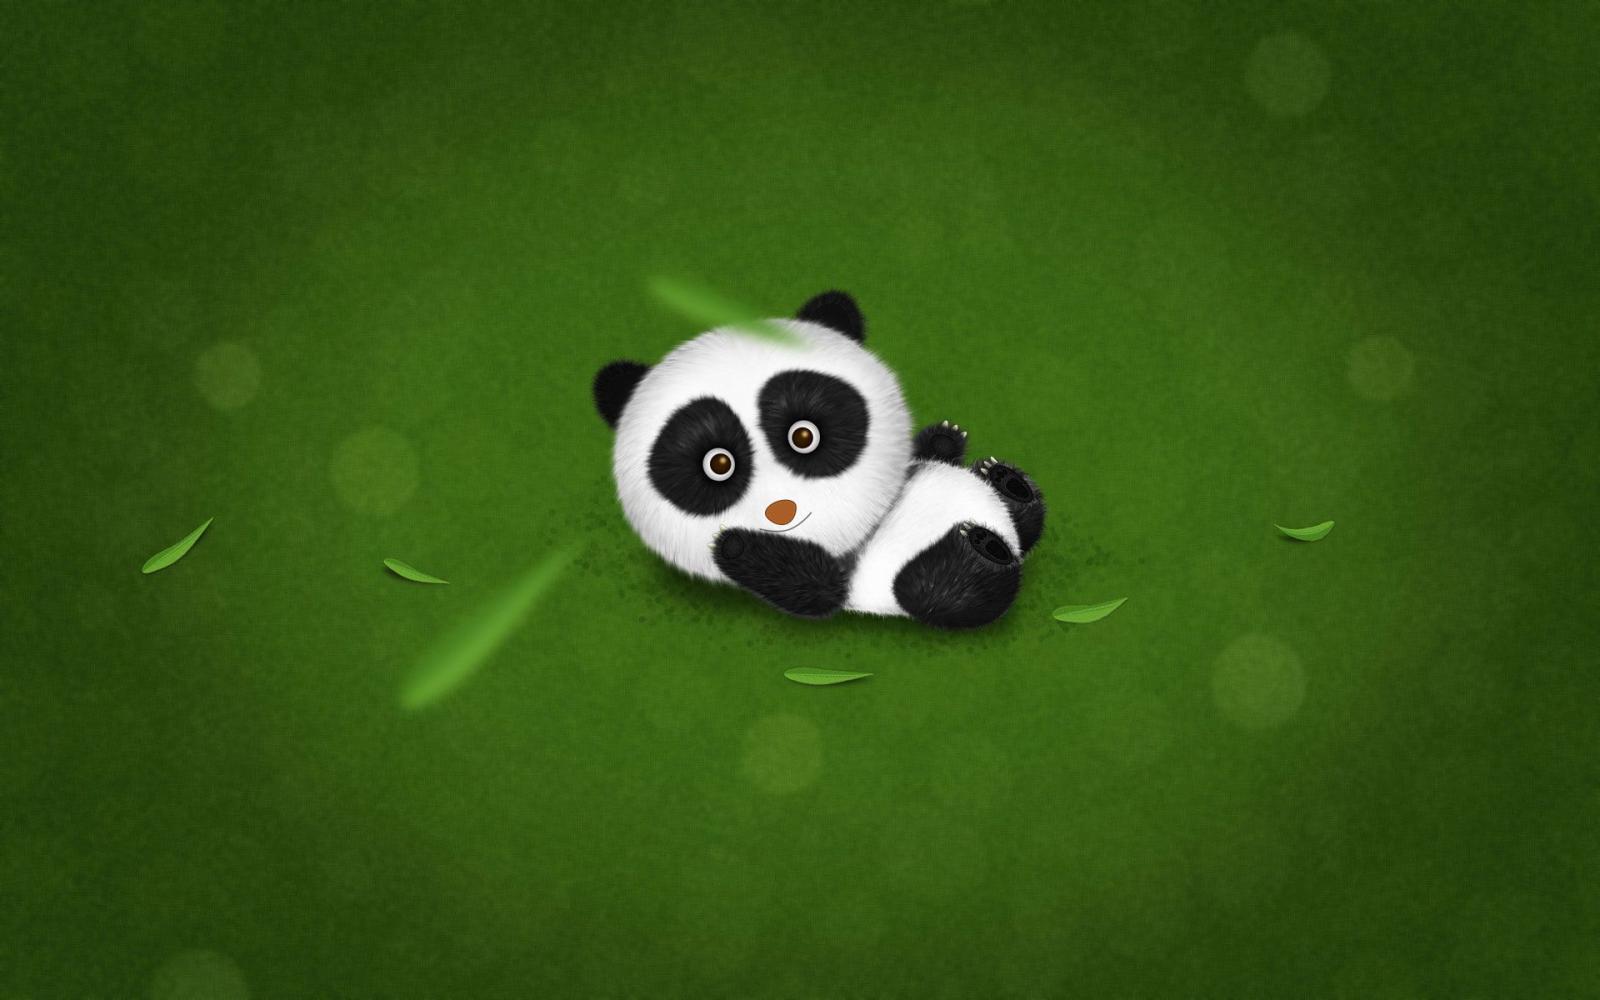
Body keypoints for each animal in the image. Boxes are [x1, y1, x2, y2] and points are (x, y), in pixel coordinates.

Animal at [592, 291, 1046, 629]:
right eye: (717, 464)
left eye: (803, 435)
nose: (780, 511)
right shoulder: (838, 579)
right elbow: (814, 591)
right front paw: (735, 543)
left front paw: (945, 438)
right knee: (946, 587)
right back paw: (980, 541)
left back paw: (1002, 481)